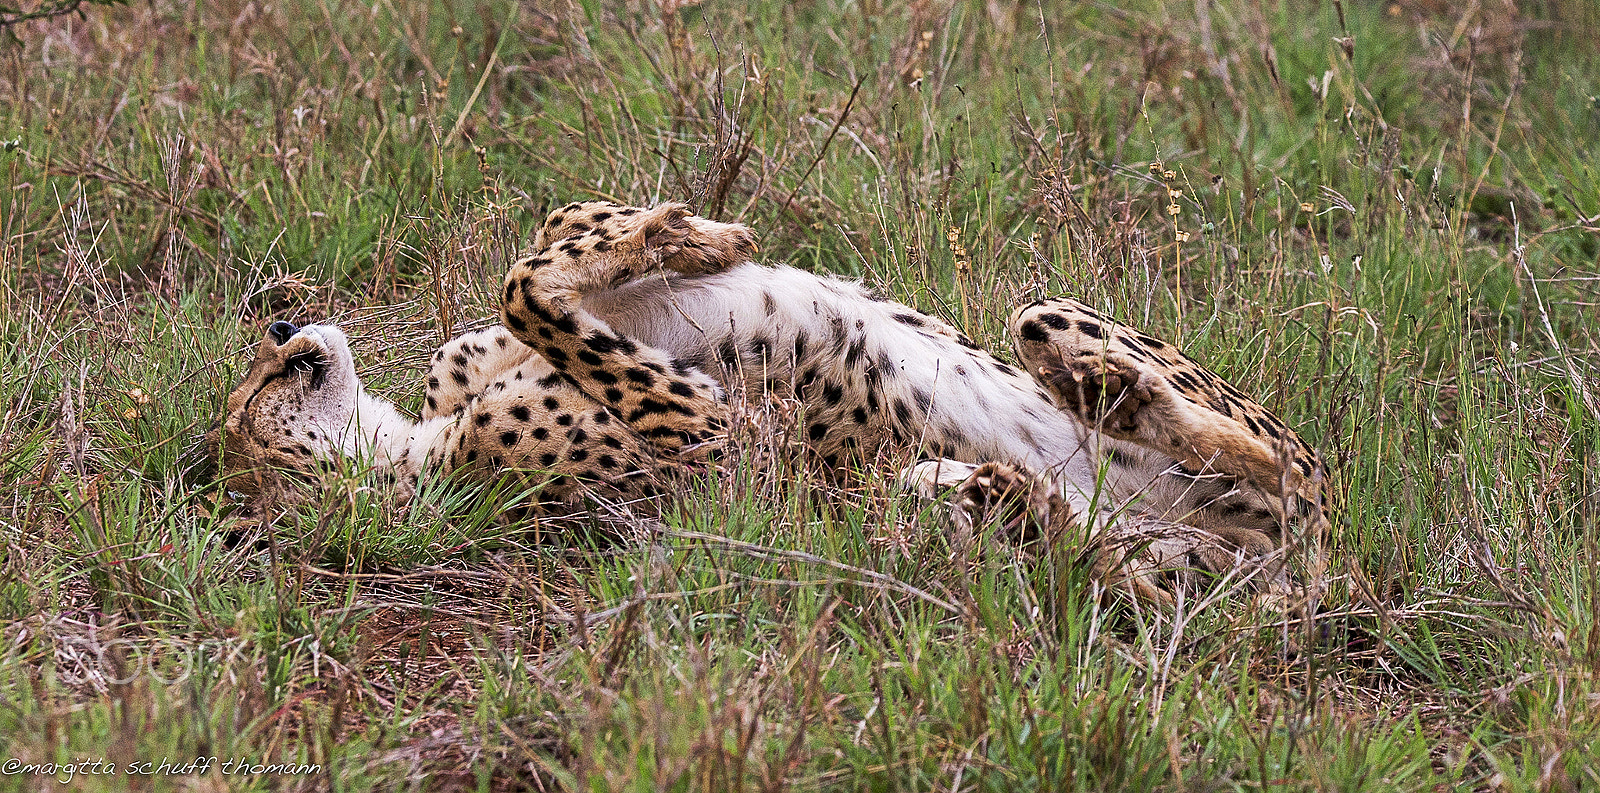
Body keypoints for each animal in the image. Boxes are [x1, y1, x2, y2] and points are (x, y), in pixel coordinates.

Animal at [211, 200, 1329, 609]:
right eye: (248, 414)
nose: (282, 334)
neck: (415, 447)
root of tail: (1309, 577)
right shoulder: (717, 437)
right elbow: (529, 285)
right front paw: (661, 236)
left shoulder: (476, 360)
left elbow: (537, 258)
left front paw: (681, 232)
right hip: (1165, 554)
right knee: (1191, 529)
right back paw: (1015, 484)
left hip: (1046, 318)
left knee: (1275, 458)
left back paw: (1102, 394)